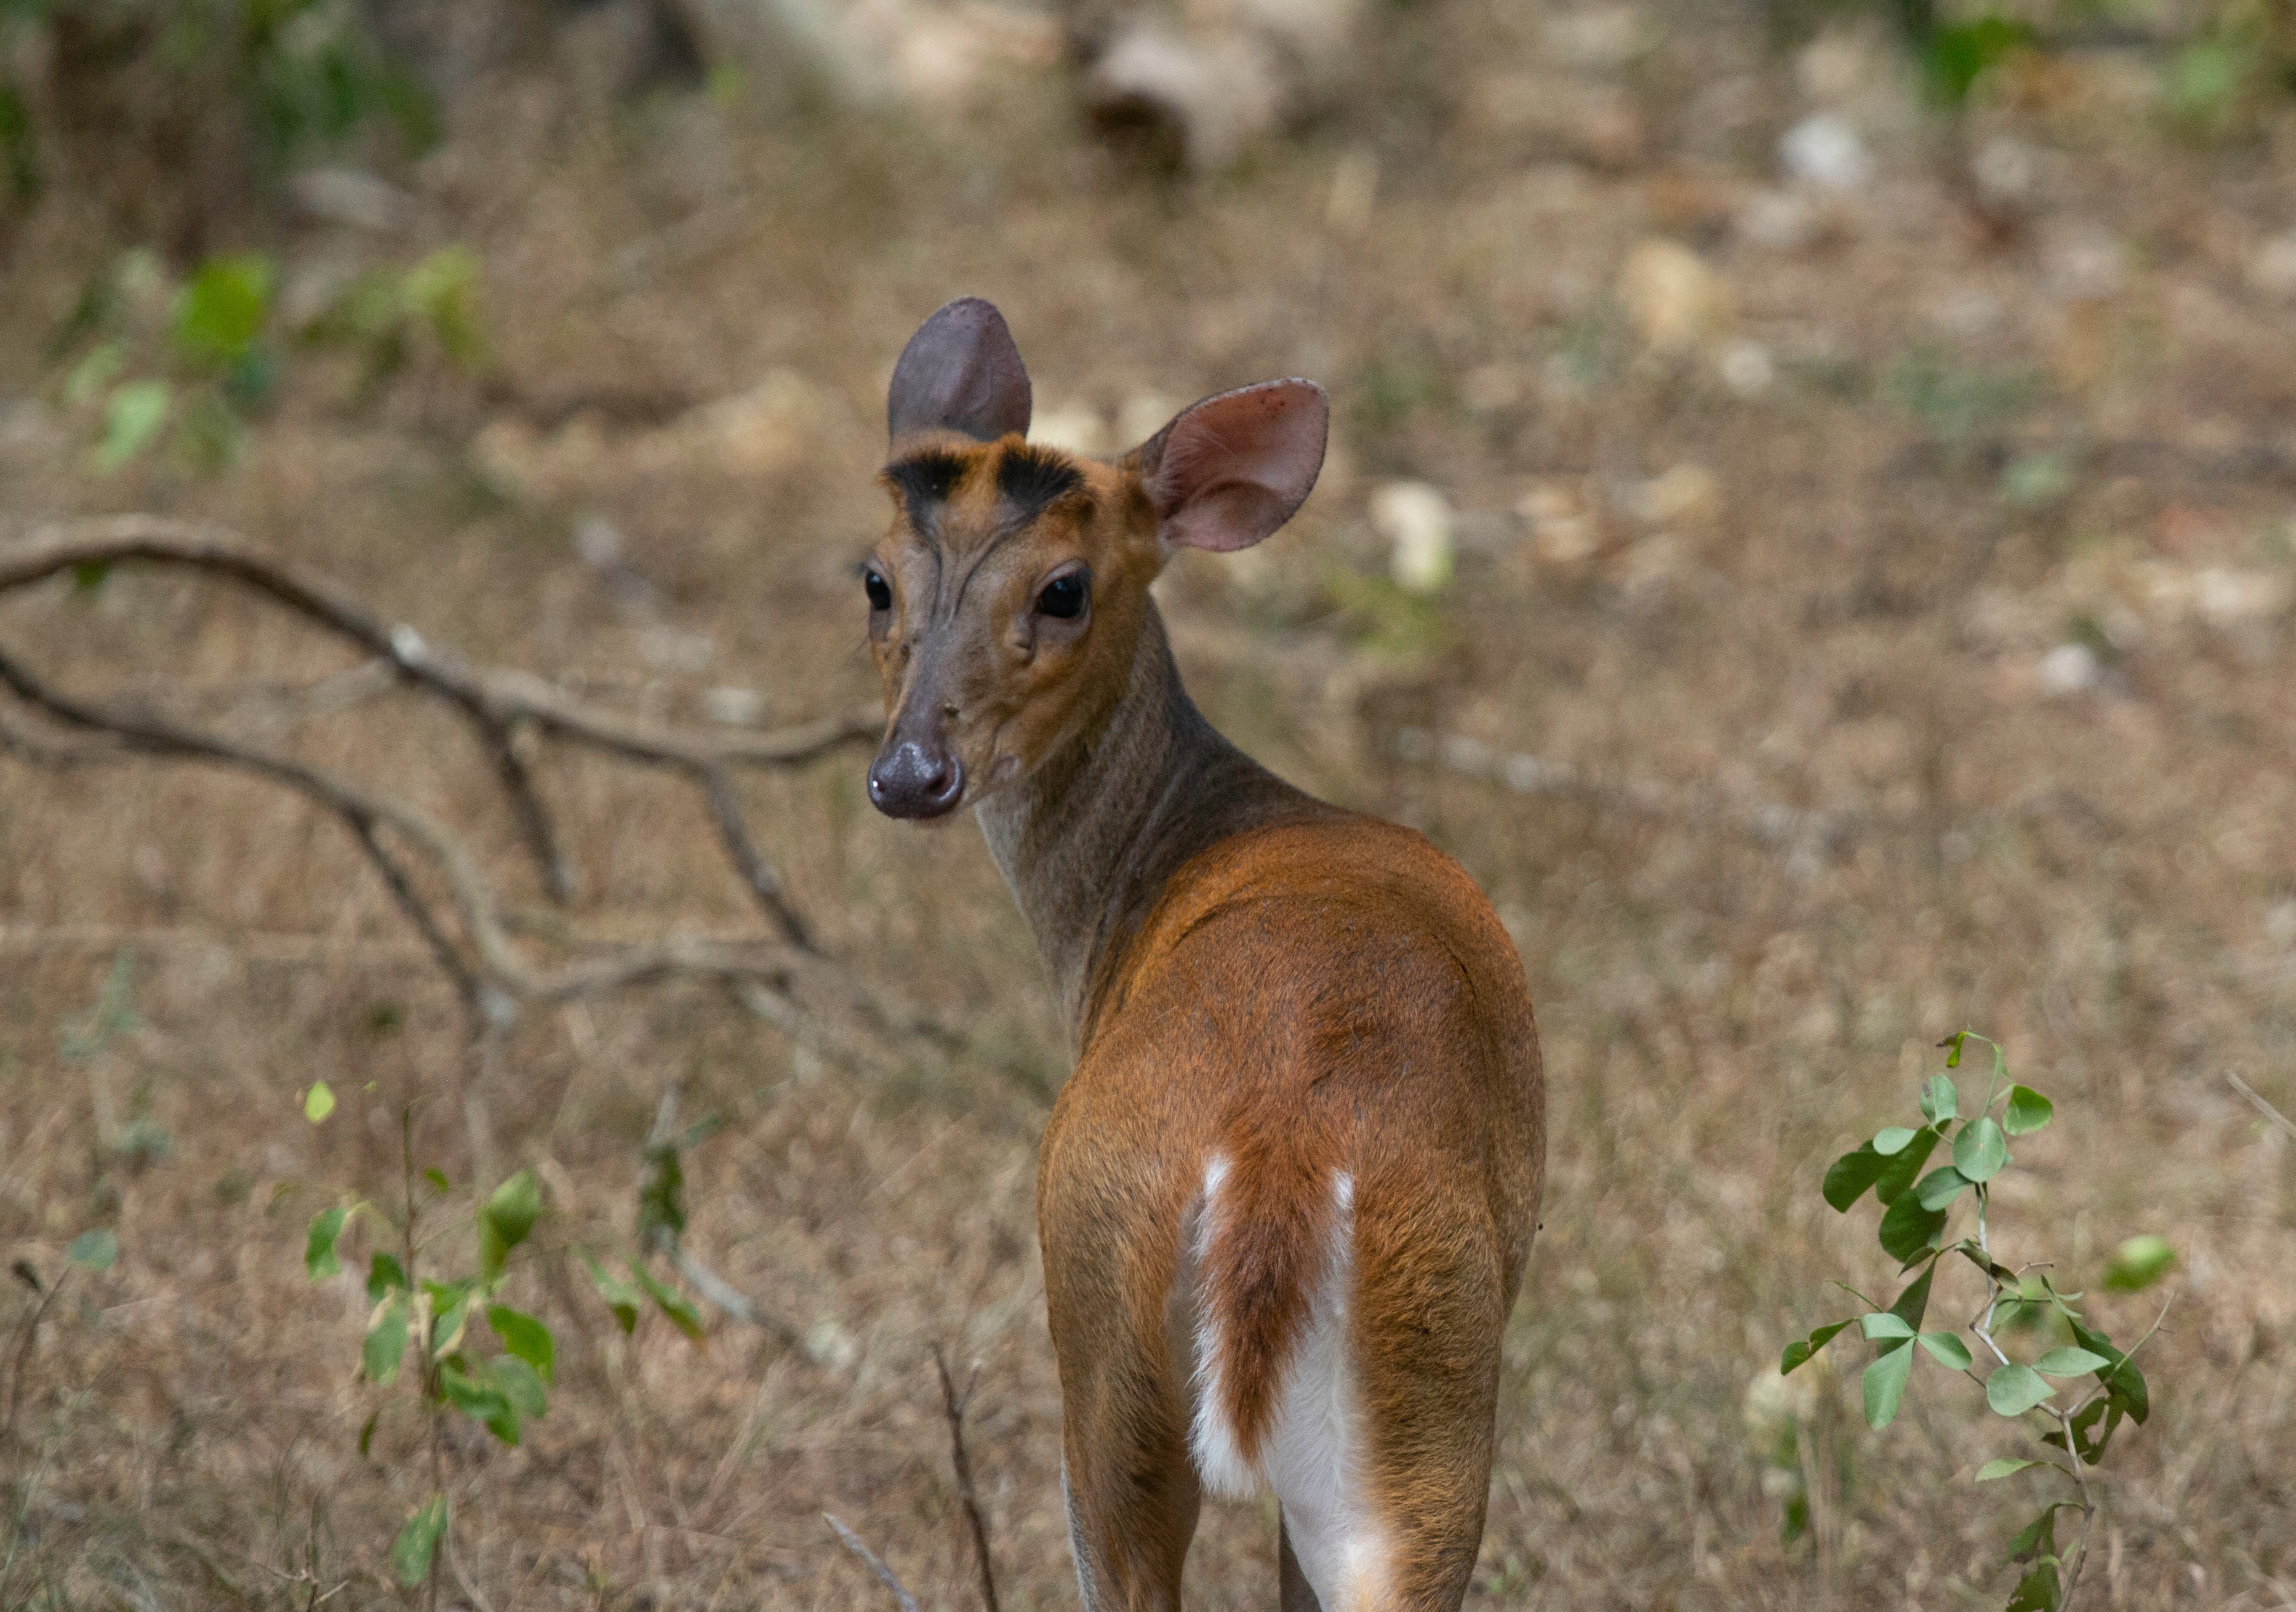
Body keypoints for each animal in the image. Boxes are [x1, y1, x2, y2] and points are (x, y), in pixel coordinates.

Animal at [863, 303, 1543, 1612]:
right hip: (1424, 1369)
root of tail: (1280, 1150)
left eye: (1065, 588)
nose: (910, 771)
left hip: (1104, 1318)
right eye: (874, 579)